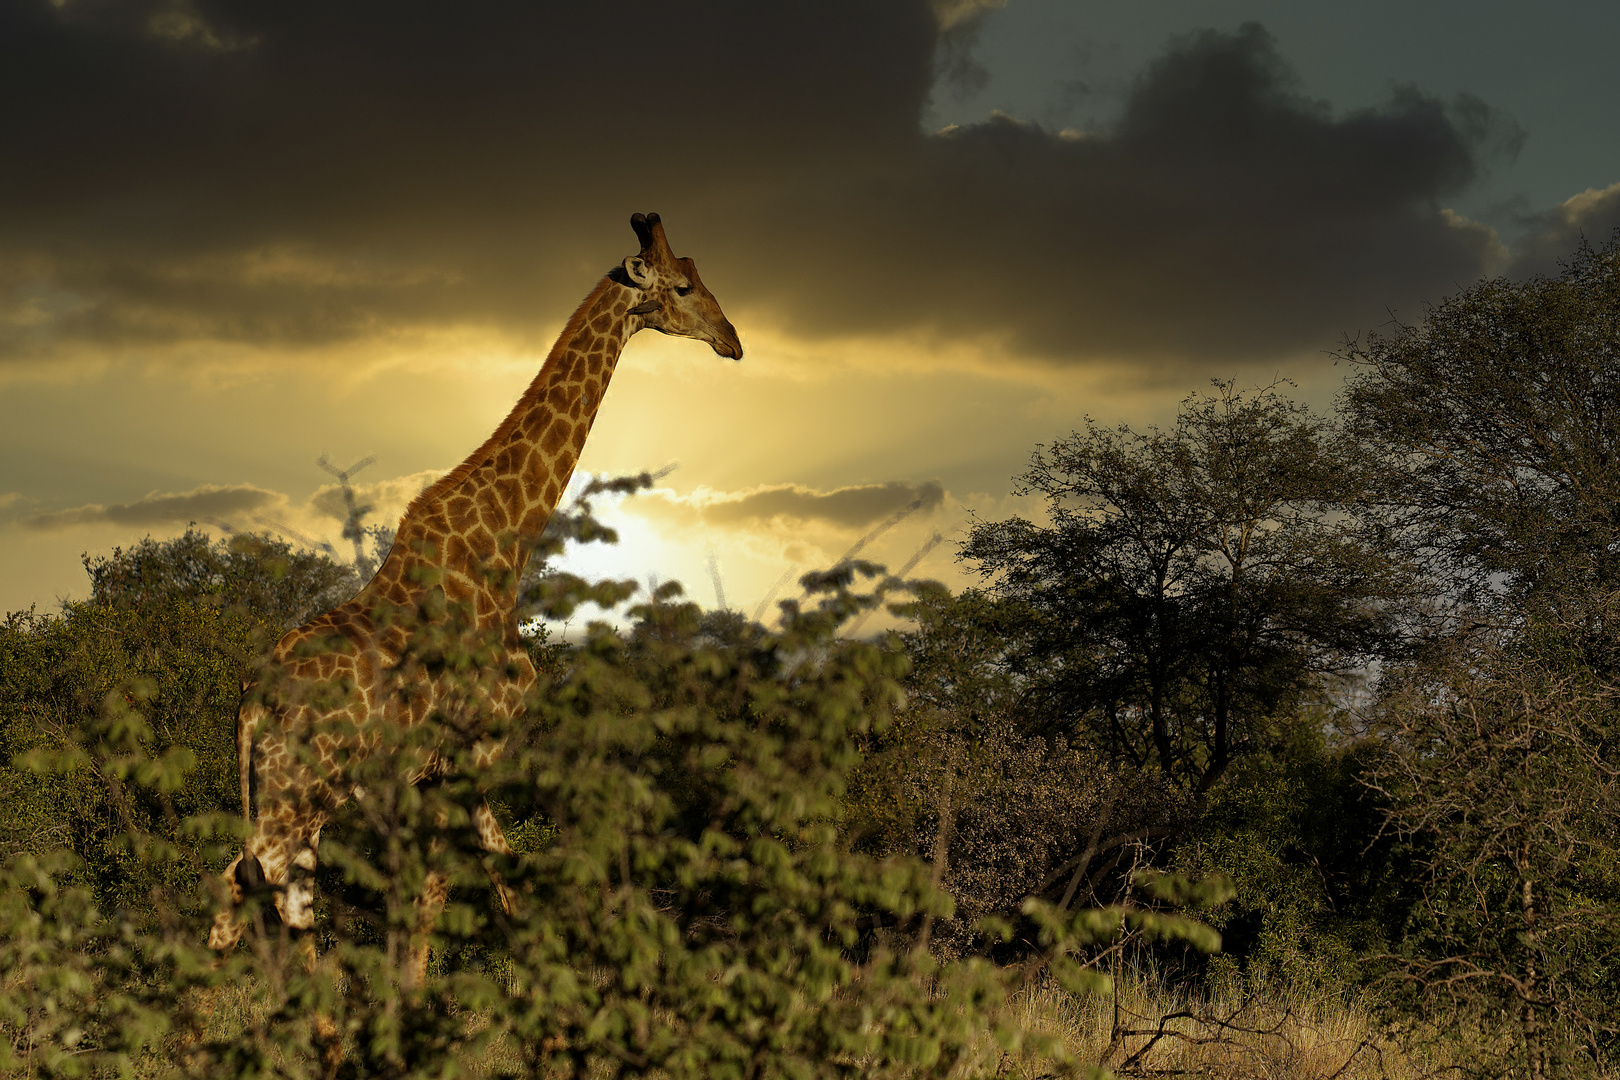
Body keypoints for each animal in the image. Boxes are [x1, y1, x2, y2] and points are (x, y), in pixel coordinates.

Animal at [212, 213, 741, 990]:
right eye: (682, 287)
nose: (733, 338)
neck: (501, 542)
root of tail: (253, 704)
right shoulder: (475, 748)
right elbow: (439, 892)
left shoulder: (443, 770)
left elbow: (496, 877)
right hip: (305, 786)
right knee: (268, 883)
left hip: (290, 791)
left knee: (246, 885)